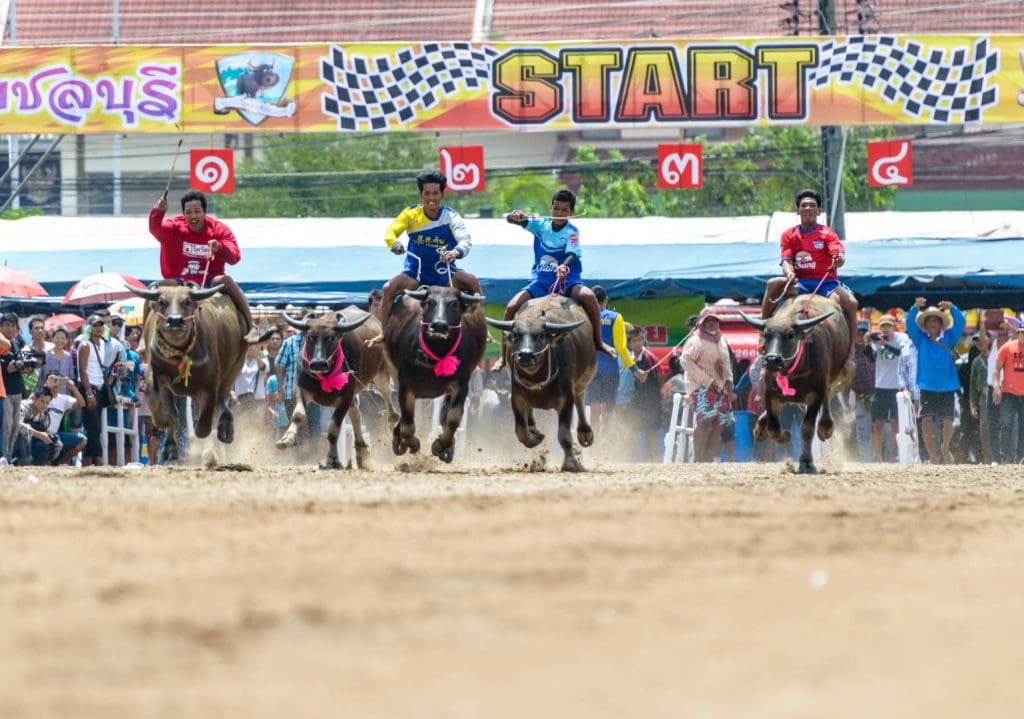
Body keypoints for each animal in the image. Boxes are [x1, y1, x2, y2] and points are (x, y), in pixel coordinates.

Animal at [130, 284, 247, 464]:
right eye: (161, 301)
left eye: (187, 301)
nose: (175, 320)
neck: (179, 354)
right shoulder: (155, 377)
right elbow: (160, 407)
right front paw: (164, 426)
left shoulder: (210, 385)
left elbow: (203, 426)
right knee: (175, 412)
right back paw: (170, 449)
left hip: (235, 368)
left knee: (222, 399)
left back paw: (225, 430)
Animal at [276, 307, 395, 471]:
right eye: (309, 337)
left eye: (331, 338)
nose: (318, 363)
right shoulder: (302, 390)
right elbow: (298, 415)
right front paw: (286, 439)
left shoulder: (344, 398)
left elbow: (333, 430)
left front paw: (332, 460)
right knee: (356, 415)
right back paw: (362, 454)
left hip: (381, 374)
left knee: (388, 401)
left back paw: (393, 424)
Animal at [385, 284, 487, 464]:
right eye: (429, 302)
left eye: (454, 304)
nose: (439, 325)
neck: (435, 355)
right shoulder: (405, 386)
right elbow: (407, 424)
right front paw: (412, 443)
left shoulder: (461, 385)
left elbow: (453, 418)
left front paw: (440, 445)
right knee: (404, 418)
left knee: (445, 414)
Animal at [485, 294, 598, 473]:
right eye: (515, 335)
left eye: (541, 335)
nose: (525, 355)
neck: (536, 378)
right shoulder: (516, 397)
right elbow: (520, 431)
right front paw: (534, 438)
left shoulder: (566, 399)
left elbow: (564, 435)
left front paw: (571, 463)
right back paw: (533, 429)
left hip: (583, 379)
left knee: (580, 399)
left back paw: (585, 433)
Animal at [741, 292, 851, 473]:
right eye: (766, 335)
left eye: (790, 335)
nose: (772, 360)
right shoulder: (770, 393)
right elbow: (773, 427)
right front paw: (785, 435)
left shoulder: (816, 394)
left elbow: (807, 429)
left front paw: (806, 463)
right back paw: (760, 428)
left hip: (832, 377)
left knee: (827, 399)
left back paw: (825, 427)